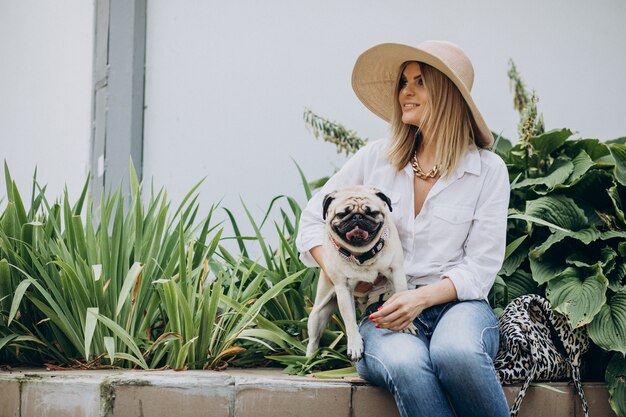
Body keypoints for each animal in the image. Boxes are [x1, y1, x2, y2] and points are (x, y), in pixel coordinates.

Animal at [306, 185, 414, 360]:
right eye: (342, 214)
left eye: (372, 213)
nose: (357, 217)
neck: (362, 255)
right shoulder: (343, 289)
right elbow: (350, 320)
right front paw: (355, 345)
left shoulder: (396, 272)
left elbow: (401, 298)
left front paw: (407, 325)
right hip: (318, 314)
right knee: (313, 341)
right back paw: (309, 360)